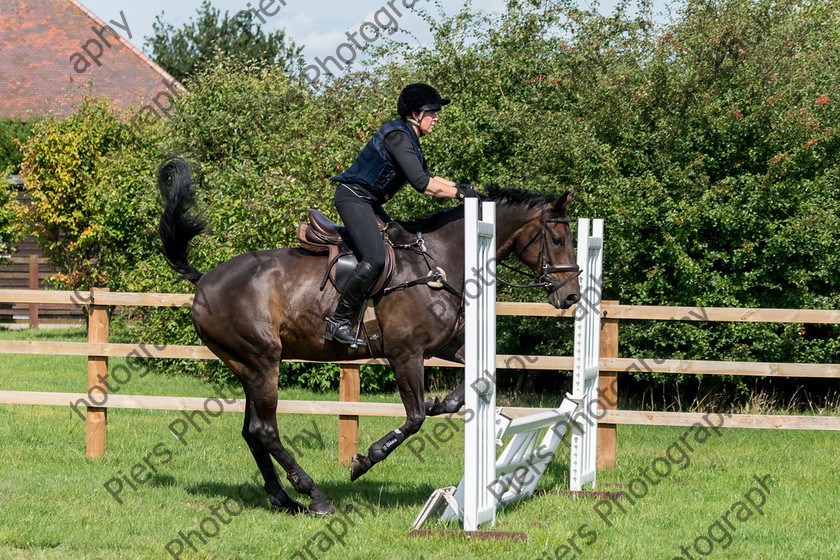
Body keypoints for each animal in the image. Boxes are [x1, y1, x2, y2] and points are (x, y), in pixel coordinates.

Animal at [158, 155, 580, 516]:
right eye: (559, 240)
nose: (571, 296)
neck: (440, 259)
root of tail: (204, 280)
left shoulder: (445, 344)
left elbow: (474, 380)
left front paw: (442, 402)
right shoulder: (405, 353)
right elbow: (414, 418)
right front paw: (365, 459)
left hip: (249, 366)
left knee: (253, 432)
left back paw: (284, 498)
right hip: (261, 362)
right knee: (265, 430)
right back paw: (315, 496)